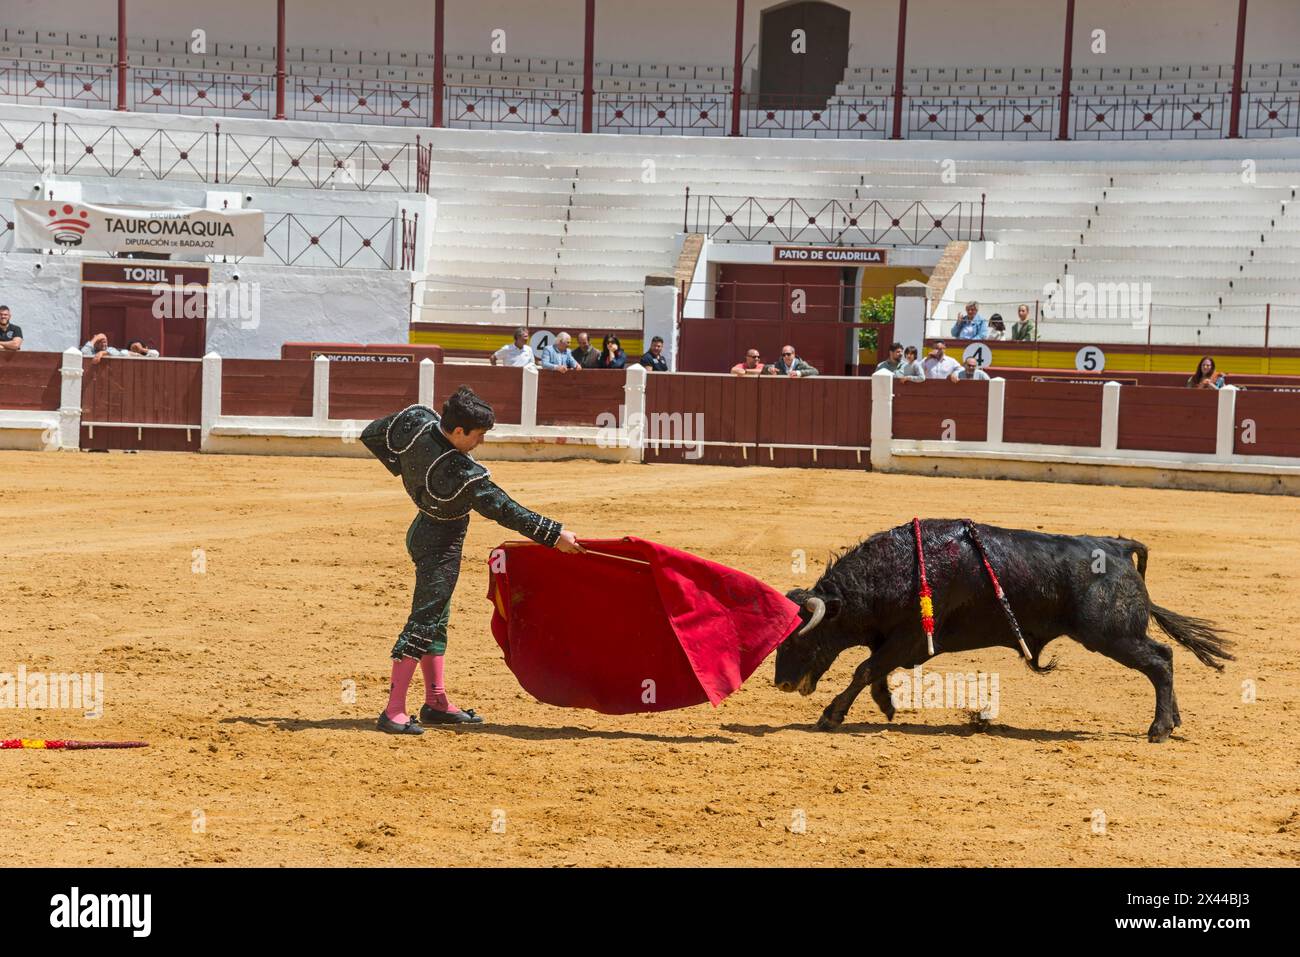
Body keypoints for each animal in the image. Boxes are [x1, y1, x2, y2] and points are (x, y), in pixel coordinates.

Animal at [774, 522, 1232, 738]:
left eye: (800, 637)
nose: (781, 684)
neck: (892, 572)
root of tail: (1117, 547)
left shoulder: (912, 639)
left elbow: (864, 669)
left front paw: (831, 716)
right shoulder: (899, 642)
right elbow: (874, 671)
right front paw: (886, 706)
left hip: (1111, 635)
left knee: (1159, 661)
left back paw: (1159, 730)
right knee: (1163, 659)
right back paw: (1172, 721)